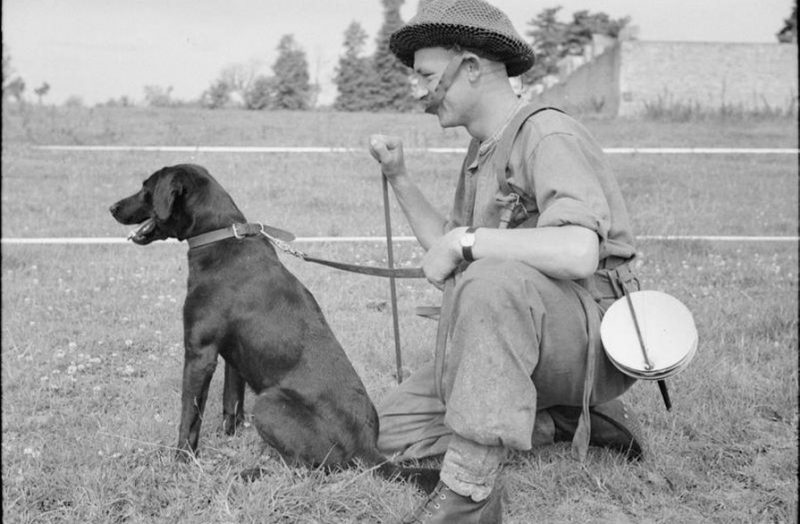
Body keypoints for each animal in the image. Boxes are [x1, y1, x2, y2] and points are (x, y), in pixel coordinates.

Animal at [111, 165, 438, 492]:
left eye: (146, 188)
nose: (112, 208)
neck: (218, 236)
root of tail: (368, 448)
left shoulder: (199, 353)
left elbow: (189, 416)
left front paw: (181, 462)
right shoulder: (232, 358)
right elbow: (231, 404)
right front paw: (229, 440)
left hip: (269, 403)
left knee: (314, 468)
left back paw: (255, 473)